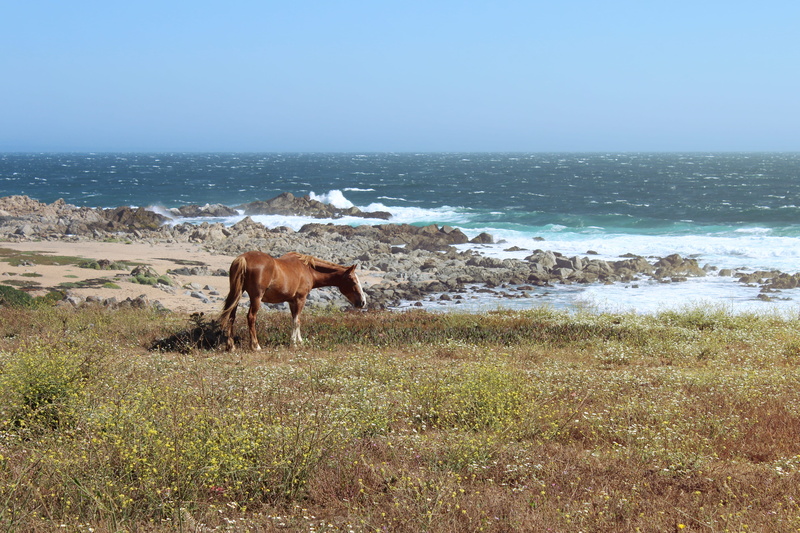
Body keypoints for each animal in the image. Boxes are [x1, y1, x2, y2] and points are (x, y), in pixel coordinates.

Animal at [218, 251, 366, 350]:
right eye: (353, 281)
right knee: (251, 317)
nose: (363, 302)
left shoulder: (291, 301)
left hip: (237, 294)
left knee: (231, 316)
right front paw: (294, 343)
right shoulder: (301, 298)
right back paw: (256, 346)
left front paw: (299, 340)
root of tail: (243, 258)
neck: (308, 269)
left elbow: (295, 320)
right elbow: (297, 321)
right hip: (256, 298)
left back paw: (231, 346)